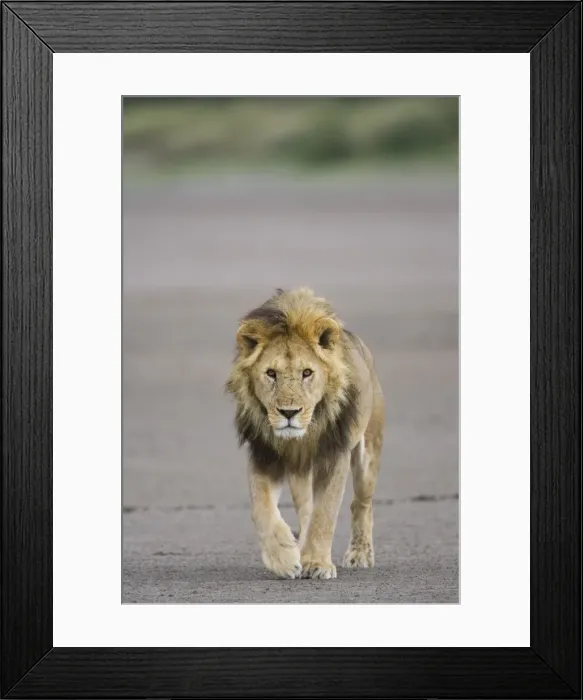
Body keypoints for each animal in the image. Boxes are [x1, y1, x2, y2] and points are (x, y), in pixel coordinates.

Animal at [225, 287, 385, 580]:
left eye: (307, 372)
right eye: (271, 373)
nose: (289, 412)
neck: (299, 439)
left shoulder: (335, 456)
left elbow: (326, 513)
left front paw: (318, 564)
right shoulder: (265, 456)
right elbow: (261, 509)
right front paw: (284, 558)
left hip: (368, 453)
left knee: (361, 503)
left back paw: (359, 554)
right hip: (300, 472)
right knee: (306, 509)